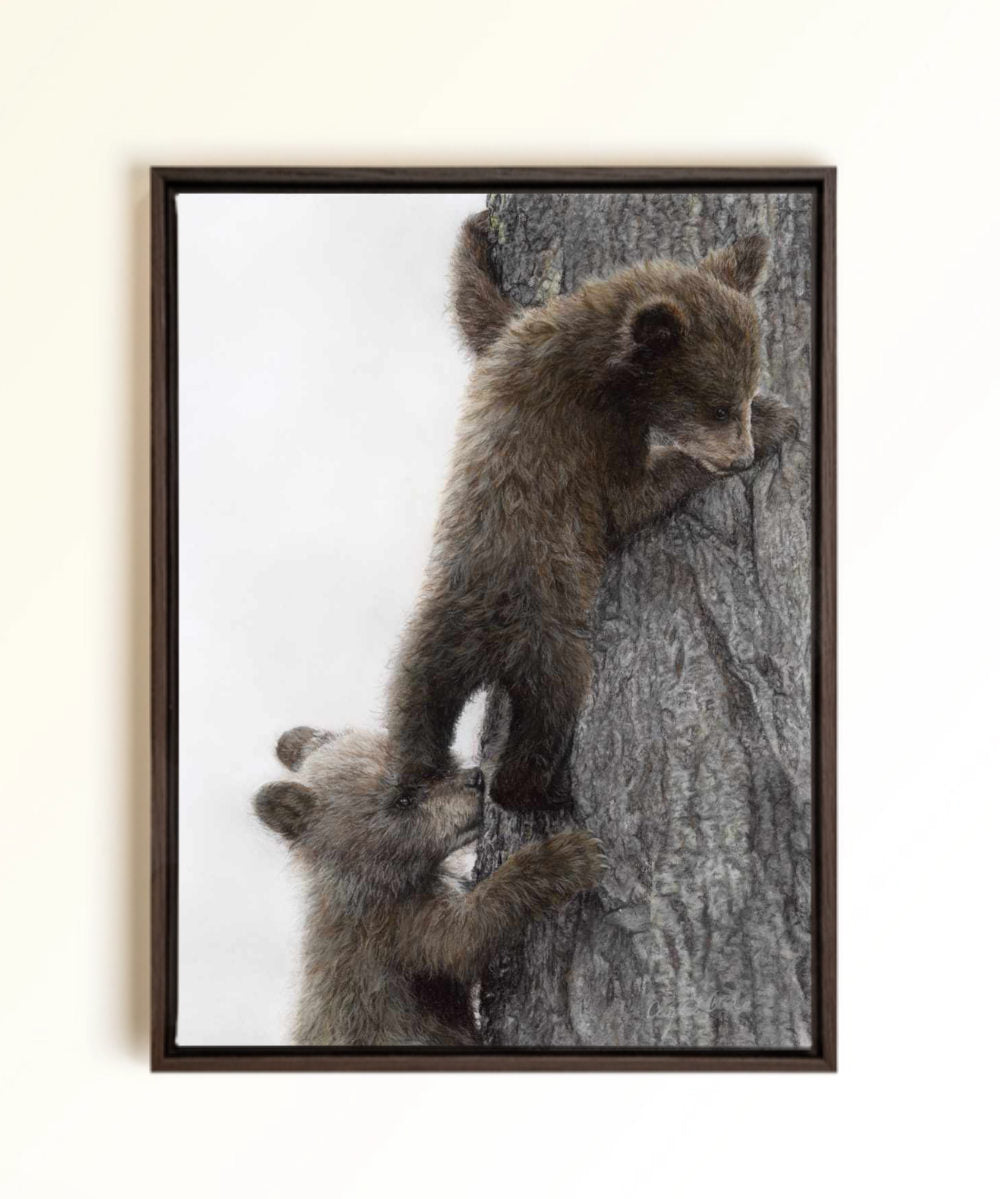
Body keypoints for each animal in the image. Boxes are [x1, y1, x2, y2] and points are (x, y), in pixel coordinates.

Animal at [253, 725, 606, 1046]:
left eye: (435, 767)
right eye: (403, 799)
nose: (476, 779)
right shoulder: (395, 929)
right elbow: (463, 937)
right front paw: (567, 857)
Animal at [385, 212, 799, 812]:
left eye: (741, 396)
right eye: (720, 407)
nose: (739, 456)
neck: (598, 360)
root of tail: (484, 647)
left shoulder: (516, 340)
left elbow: (479, 312)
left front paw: (476, 234)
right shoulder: (588, 427)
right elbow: (627, 498)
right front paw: (776, 421)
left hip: (427, 647)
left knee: (412, 717)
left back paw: (419, 776)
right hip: (549, 642)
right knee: (550, 713)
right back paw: (542, 791)